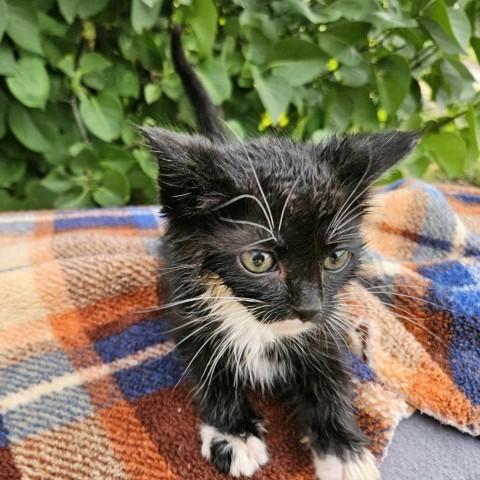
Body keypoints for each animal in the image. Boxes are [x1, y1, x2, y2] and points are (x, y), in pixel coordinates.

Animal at [142, 27, 416, 480]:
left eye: (335, 258)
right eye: (259, 261)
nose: (307, 309)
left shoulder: (325, 326)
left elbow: (332, 374)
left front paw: (345, 452)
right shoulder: (186, 308)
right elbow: (209, 369)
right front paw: (233, 433)